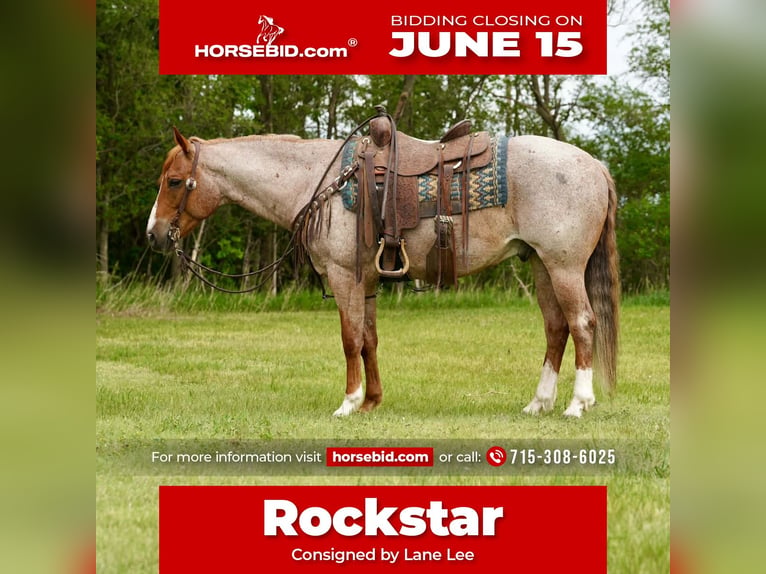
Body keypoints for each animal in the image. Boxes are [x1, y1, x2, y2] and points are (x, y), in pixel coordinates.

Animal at [146, 125, 619, 418]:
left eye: (174, 181)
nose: (153, 234)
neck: (318, 182)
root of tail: (596, 165)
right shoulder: (368, 281)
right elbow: (369, 339)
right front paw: (372, 401)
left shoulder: (344, 277)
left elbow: (350, 338)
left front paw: (349, 402)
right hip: (540, 264)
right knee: (556, 328)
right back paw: (539, 403)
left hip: (563, 266)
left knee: (582, 323)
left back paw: (578, 403)